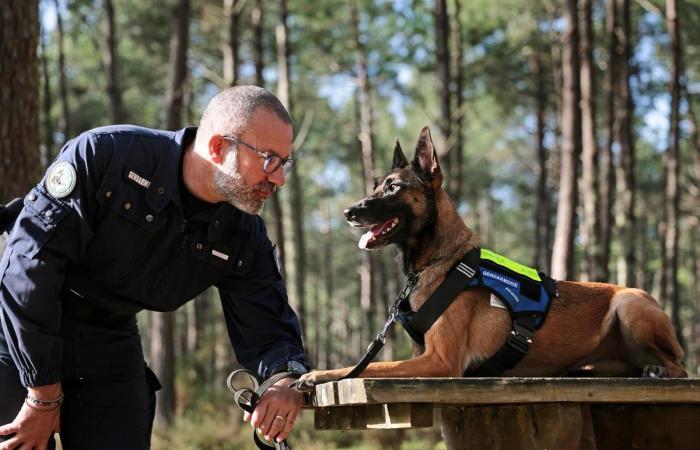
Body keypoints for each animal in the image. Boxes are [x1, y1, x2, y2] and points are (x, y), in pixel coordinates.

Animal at [294, 125, 684, 386]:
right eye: (376, 186)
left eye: (393, 188)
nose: (348, 212)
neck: (441, 259)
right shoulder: (425, 355)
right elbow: (364, 365)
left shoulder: (441, 362)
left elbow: (367, 367)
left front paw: (319, 373)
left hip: (629, 304)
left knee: (680, 365)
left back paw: (658, 369)